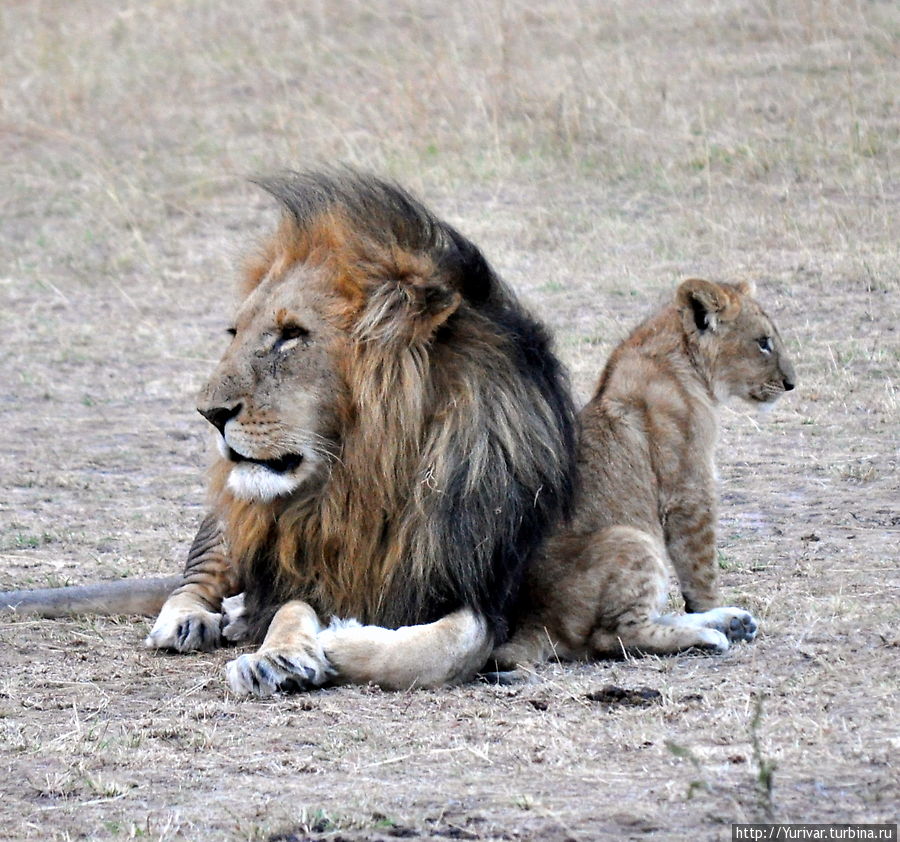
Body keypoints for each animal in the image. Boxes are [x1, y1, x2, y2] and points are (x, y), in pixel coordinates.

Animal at [1, 172, 576, 696]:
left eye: (291, 336)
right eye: (236, 333)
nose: (208, 413)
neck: (362, 479)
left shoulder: (482, 585)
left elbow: (448, 646)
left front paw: (330, 643)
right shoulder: (294, 574)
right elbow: (291, 606)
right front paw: (278, 655)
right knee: (197, 574)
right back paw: (191, 620)